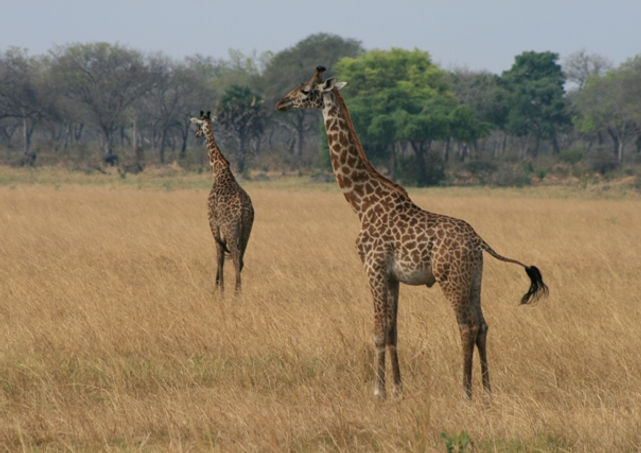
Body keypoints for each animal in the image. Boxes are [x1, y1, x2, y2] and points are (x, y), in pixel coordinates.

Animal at [190, 111, 254, 293]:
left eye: (198, 125)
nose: (196, 134)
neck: (219, 171)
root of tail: (244, 211)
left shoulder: (212, 220)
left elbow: (218, 252)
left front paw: (218, 288)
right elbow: (222, 254)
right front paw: (219, 285)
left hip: (231, 228)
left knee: (235, 255)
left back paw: (236, 293)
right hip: (246, 230)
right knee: (240, 257)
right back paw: (238, 290)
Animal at [276, 67, 548, 399]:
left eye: (305, 90)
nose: (281, 103)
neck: (361, 203)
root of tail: (478, 241)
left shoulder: (374, 268)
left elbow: (379, 331)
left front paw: (378, 392)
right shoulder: (394, 276)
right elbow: (393, 331)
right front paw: (398, 390)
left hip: (450, 278)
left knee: (467, 326)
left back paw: (466, 392)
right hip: (474, 279)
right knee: (483, 325)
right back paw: (487, 391)